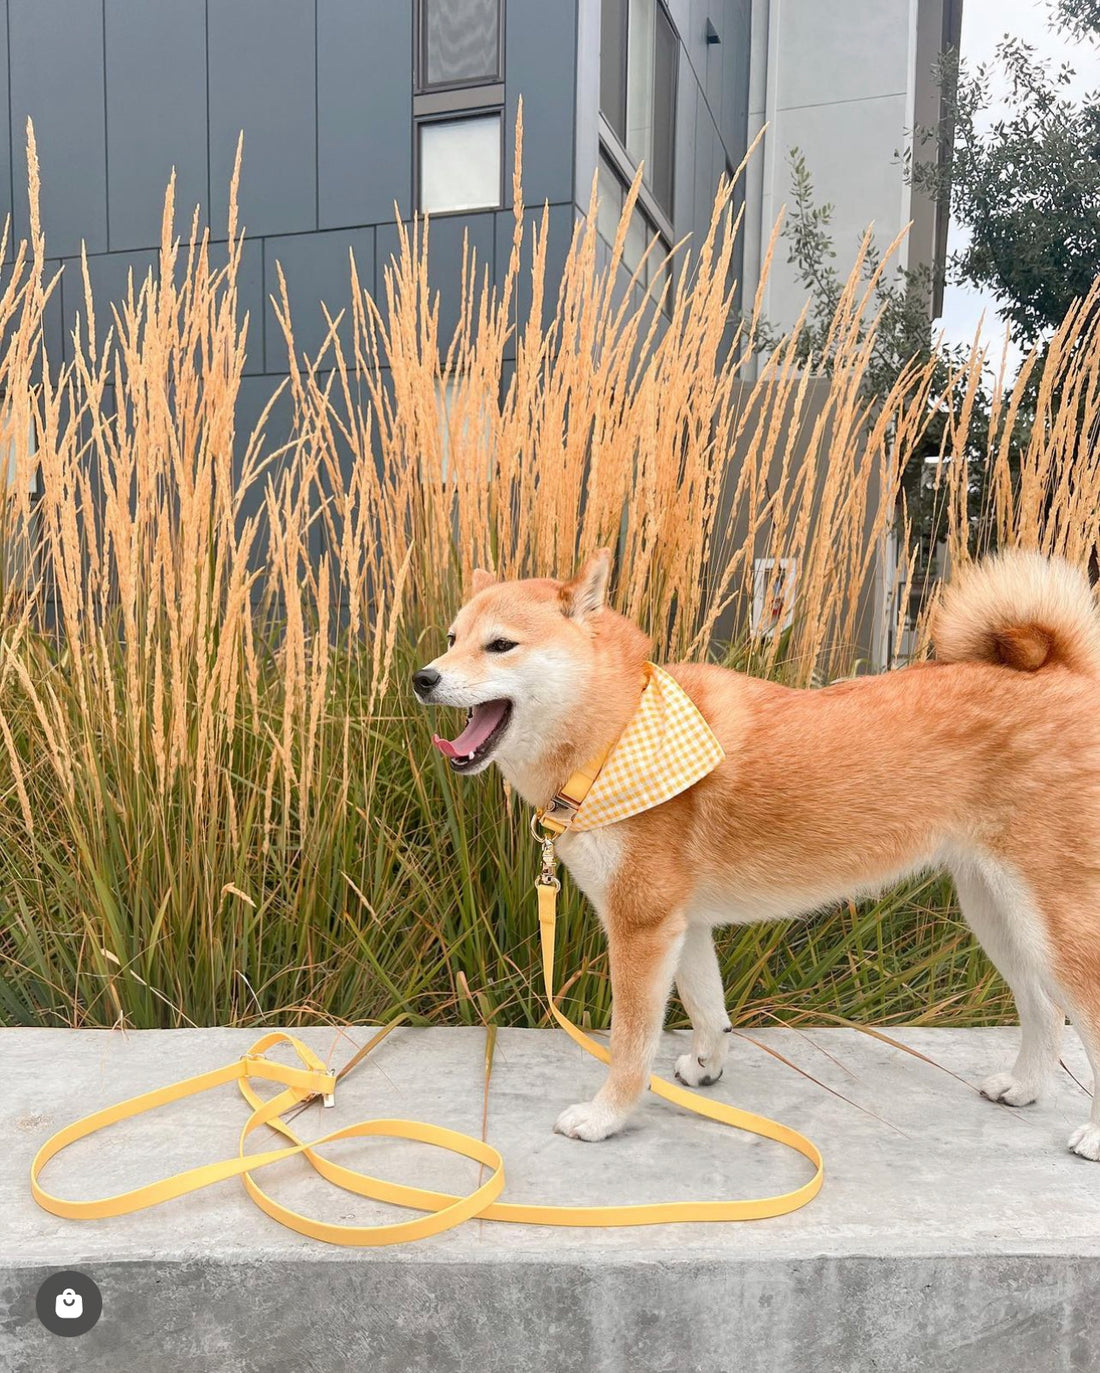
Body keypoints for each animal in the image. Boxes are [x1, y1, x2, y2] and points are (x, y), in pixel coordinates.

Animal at [409, 546, 1098, 1158]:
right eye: (451, 637)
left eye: (501, 645)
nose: (423, 677)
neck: (618, 732)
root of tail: (1066, 674)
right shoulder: (682, 924)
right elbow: (708, 1009)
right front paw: (707, 1069)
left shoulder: (641, 927)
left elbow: (631, 1043)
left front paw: (607, 1116)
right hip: (997, 914)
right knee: (1045, 1011)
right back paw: (1024, 1087)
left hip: (1054, 921)